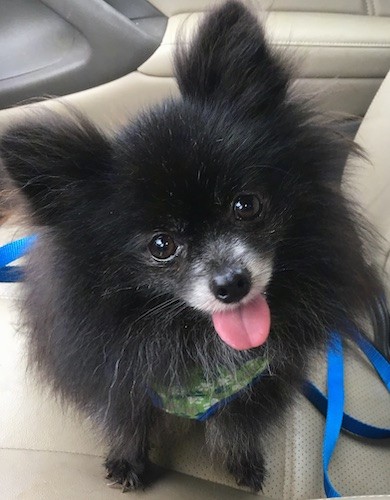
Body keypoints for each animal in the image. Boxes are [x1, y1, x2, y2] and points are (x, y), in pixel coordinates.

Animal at [0, 0, 380, 492]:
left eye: (246, 205)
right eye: (161, 245)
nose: (232, 283)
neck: (193, 337)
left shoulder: (262, 378)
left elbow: (237, 422)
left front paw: (242, 461)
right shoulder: (119, 373)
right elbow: (126, 418)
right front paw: (127, 461)